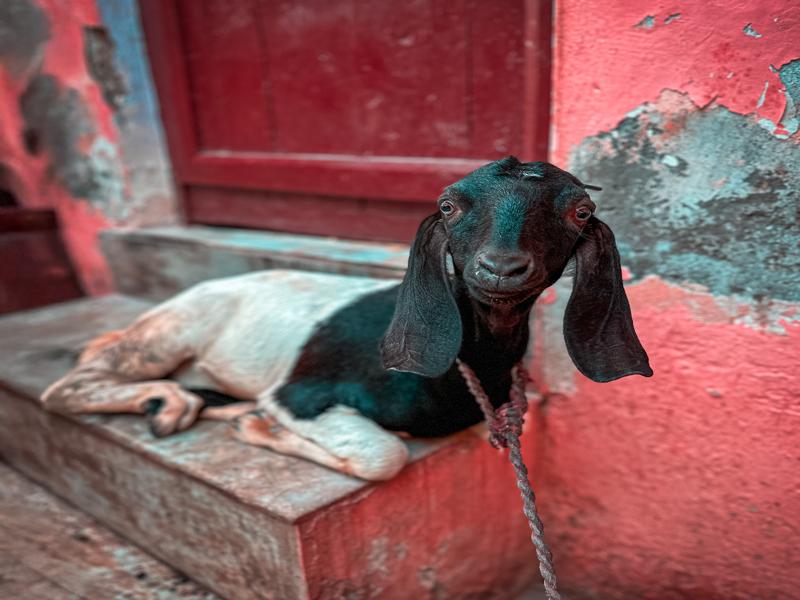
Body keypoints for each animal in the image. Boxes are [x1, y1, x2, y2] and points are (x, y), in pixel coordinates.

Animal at [41, 157, 652, 481]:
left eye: (581, 212)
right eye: (448, 205)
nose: (500, 268)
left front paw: (248, 420)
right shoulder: (301, 393)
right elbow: (383, 454)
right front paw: (258, 425)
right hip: (171, 331)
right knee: (69, 386)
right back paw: (171, 402)